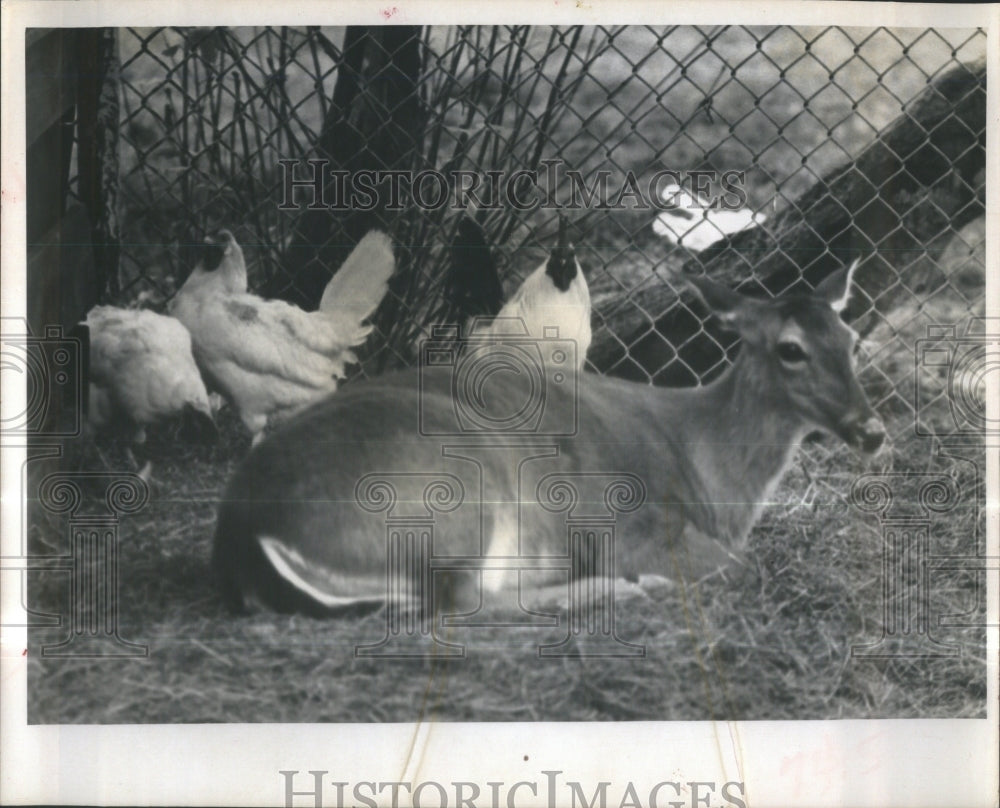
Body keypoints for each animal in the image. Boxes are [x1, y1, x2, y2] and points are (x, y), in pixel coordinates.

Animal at [211, 249, 884, 616]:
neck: (705, 468)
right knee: (463, 601)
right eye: (791, 349)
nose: (872, 430)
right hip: (457, 499)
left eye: (852, 339)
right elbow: (743, 568)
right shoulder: (630, 527)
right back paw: (621, 590)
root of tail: (245, 533)